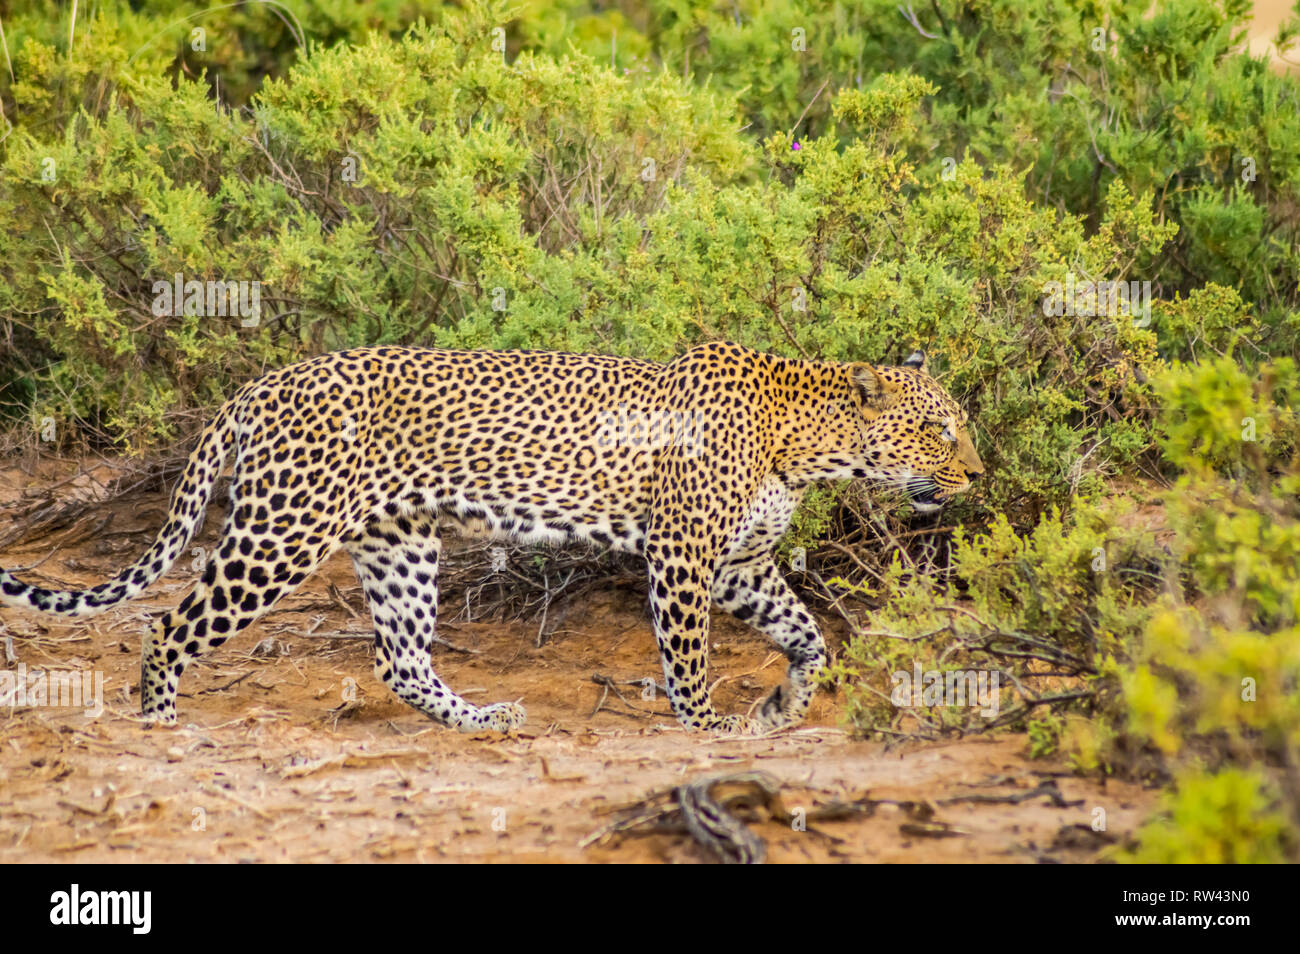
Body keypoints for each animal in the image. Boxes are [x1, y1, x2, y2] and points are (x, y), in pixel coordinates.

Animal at [0, 342, 984, 734]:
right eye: (939, 432)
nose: (976, 476)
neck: (805, 445)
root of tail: (262, 382)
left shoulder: (741, 564)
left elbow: (808, 636)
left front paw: (783, 706)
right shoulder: (683, 558)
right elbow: (690, 657)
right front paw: (709, 727)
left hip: (399, 542)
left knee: (400, 658)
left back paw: (482, 720)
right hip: (283, 532)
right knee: (168, 623)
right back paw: (160, 723)